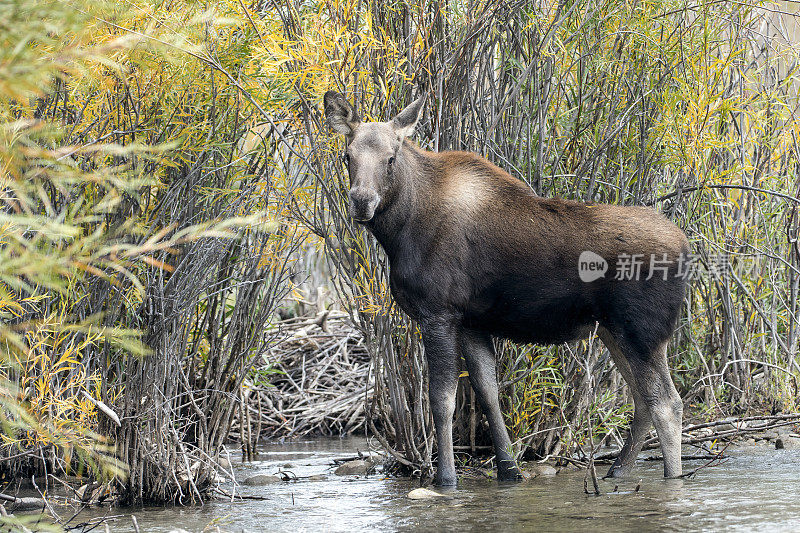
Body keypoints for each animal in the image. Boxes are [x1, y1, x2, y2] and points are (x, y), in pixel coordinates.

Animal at [324, 92, 688, 486]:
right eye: (347, 156)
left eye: (391, 157)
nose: (362, 200)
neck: (400, 230)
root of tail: (687, 249)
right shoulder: (471, 322)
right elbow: (487, 393)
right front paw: (509, 469)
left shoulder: (438, 313)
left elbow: (442, 400)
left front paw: (446, 478)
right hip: (613, 330)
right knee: (642, 400)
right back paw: (617, 468)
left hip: (643, 332)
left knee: (667, 404)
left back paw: (671, 478)